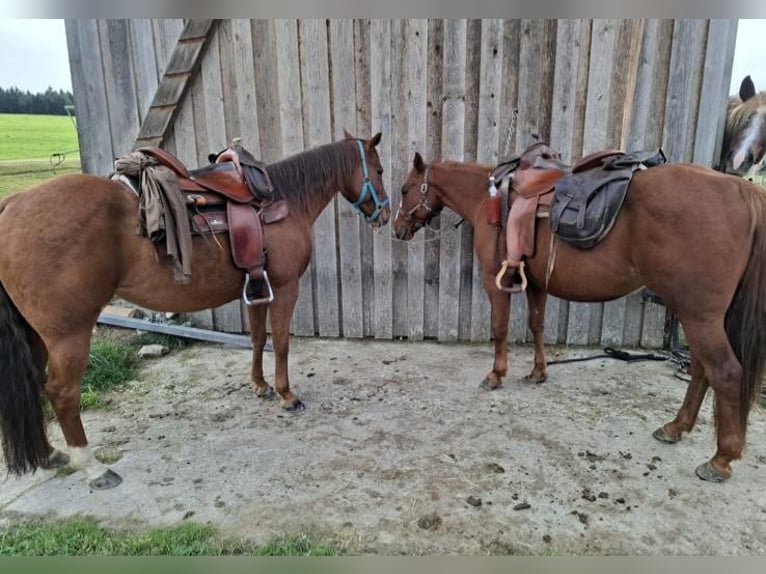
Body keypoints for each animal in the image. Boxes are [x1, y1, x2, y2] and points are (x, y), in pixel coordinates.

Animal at [0, 131, 390, 490]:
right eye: (379, 169)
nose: (385, 212)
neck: (285, 199)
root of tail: (11, 205)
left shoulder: (256, 287)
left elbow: (257, 339)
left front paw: (260, 386)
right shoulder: (284, 287)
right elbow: (280, 342)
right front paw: (286, 395)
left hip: (36, 335)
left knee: (36, 384)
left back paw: (50, 454)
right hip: (69, 334)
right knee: (62, 392)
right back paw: (93, 467)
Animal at [393, 146, 766, 482]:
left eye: (405, 189)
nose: (397, 229)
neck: (492, 199)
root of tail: (742, 189)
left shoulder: (497, 281)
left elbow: (500, 328)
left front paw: (496, 375)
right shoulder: (536, 284)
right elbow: (537, 325)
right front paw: (538, 372)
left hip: (699, 316)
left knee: (725, 373)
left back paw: (721, 459)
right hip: (698, 315)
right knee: (702, 369)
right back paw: (676, 427)